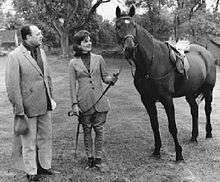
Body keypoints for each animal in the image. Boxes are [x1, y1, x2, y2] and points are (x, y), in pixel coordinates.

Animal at [116, 5, 216, 161]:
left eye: (134, 26)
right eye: (118, 26)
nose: (130, 48)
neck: (151, 63)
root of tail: (206, 53)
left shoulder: (167, 99)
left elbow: (172, 127)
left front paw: (179, 154)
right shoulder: (147, 100)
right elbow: (154, 126)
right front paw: (157, 150)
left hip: (208, 90)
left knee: (207, 109)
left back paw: (208, 133)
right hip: (190, 93)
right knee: (194, 110)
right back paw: (194, 137)